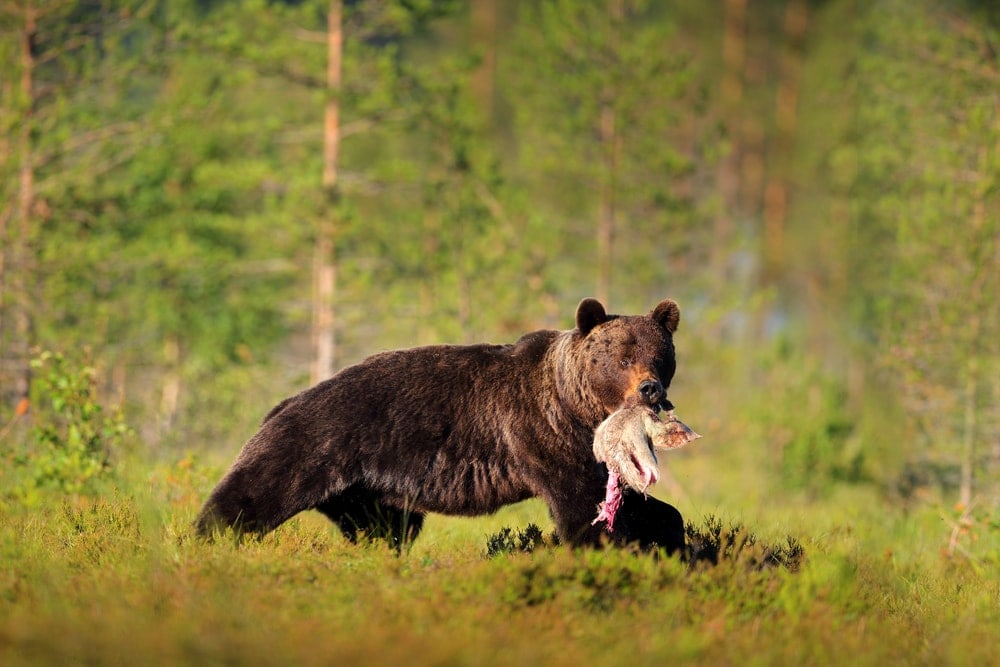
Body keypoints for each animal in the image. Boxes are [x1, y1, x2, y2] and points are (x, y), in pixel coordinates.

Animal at [196, 297, 687, 552]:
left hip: (364, 491)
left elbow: (646, 508)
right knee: (251, 494)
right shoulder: (544, 436)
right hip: (312, 444)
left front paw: (670, 540)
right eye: (622, 358)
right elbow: (582, 506)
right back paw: (205, 540)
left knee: (388, 528)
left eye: (660, 356)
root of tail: (282, 403)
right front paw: (605, 548)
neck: (576, 407)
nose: (649, 389)